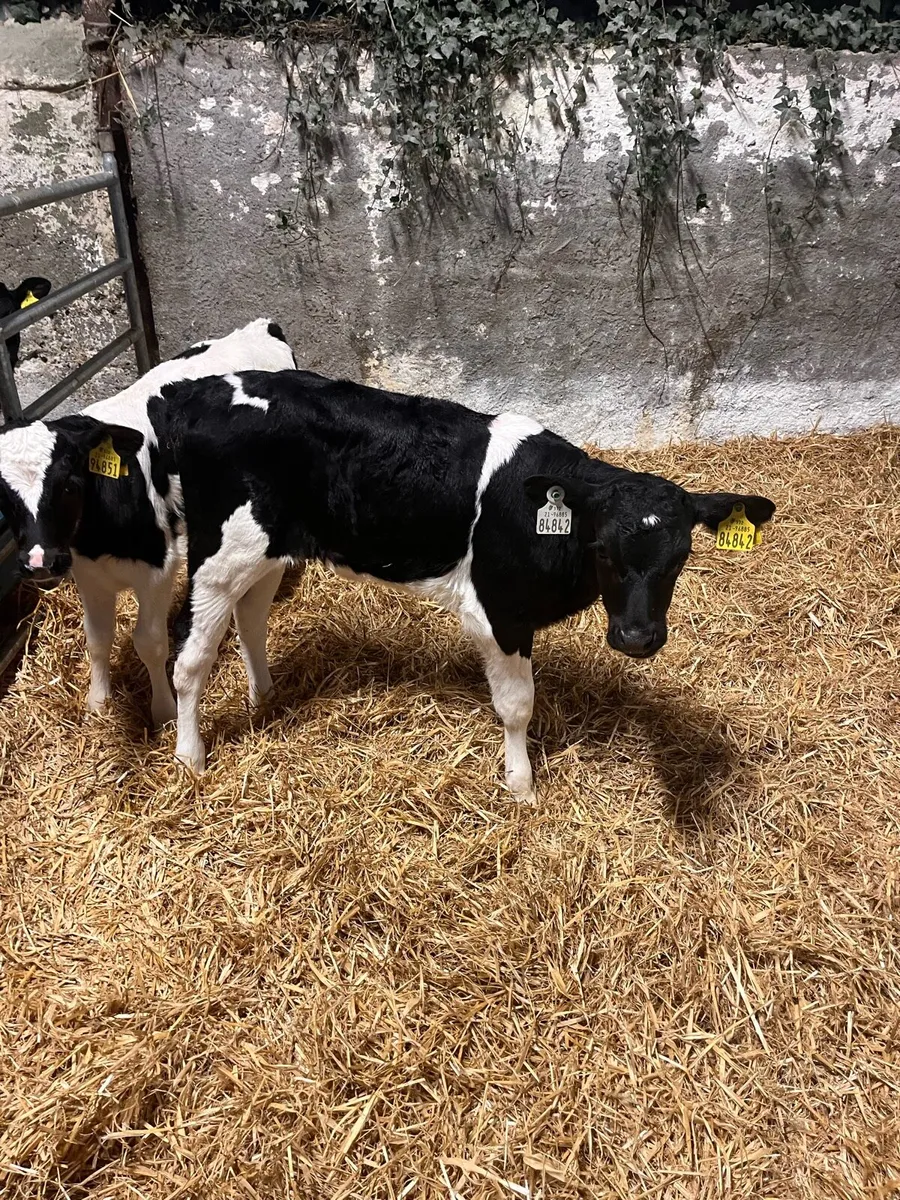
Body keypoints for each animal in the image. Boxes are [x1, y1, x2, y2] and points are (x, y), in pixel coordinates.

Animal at [0, 319, 296, 725]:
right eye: (2, 496)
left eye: (69, 484)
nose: (39, 561)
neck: (97, 536)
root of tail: (260, 327)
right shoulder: (87, 571)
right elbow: (97, 637)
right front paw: (98, 701)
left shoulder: (157, 569)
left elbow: (150, 642)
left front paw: (164, 711)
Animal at [141, 369, 775, 795]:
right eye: (602, 548)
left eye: (681, 555)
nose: (638, 638)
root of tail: (191, 392)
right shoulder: (499, 613)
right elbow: (517, 706)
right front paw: (521, 785)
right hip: (220, 555)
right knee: (189, 656)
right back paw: (191, 758)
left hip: (269, 546)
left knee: (250, 618)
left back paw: (265, 696)